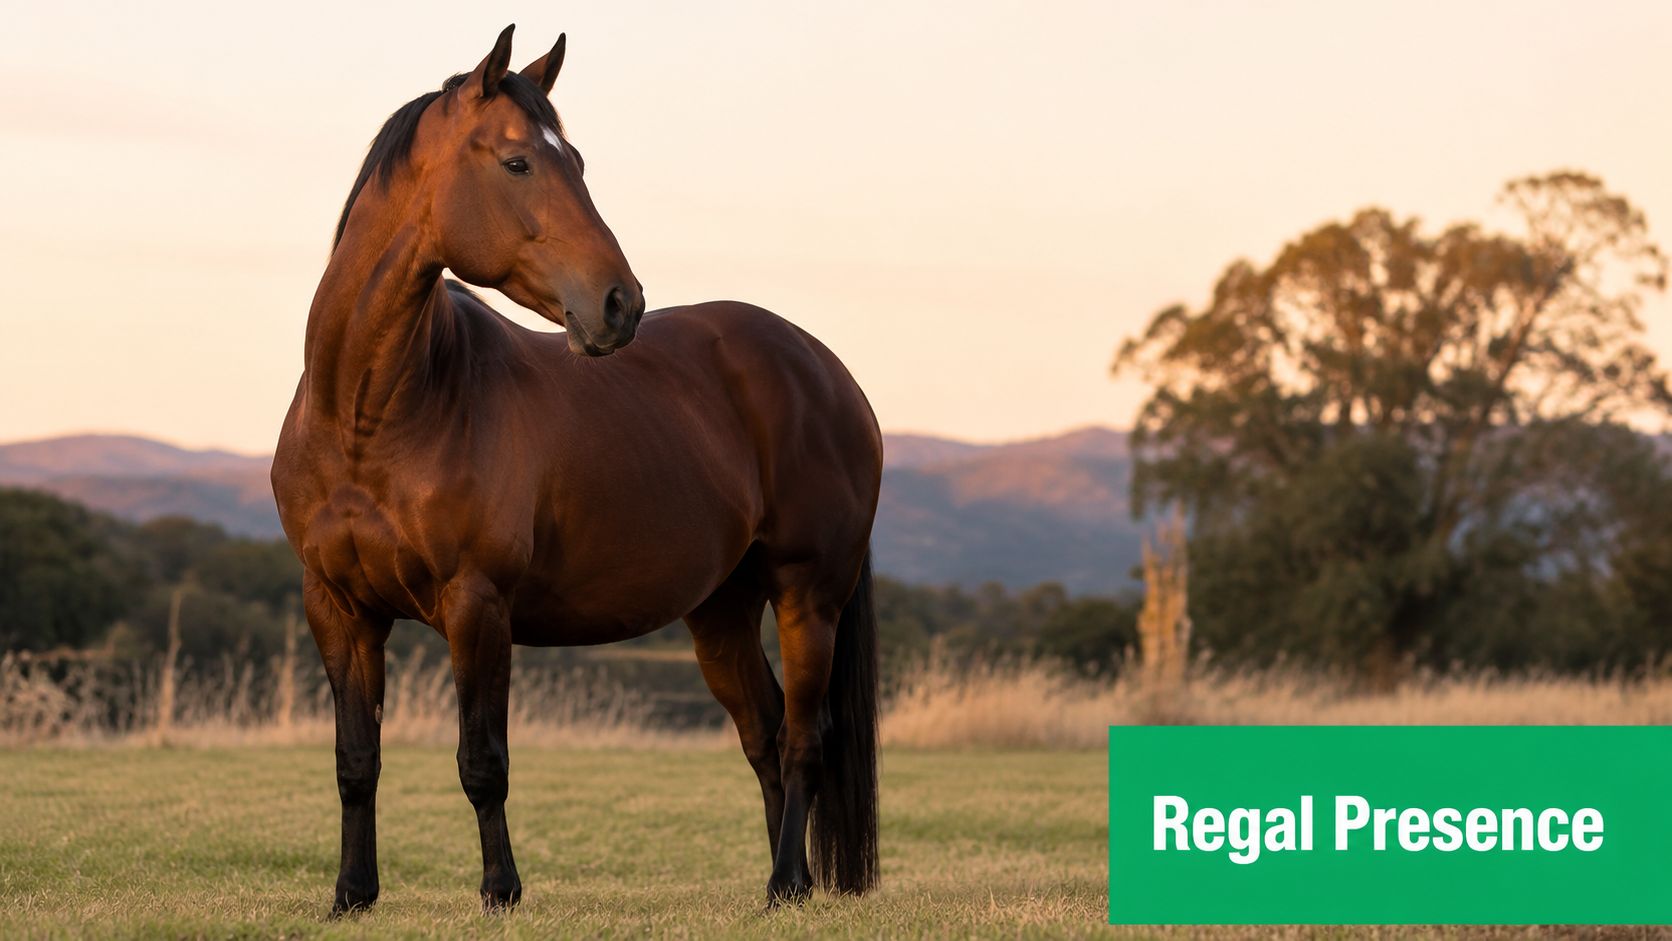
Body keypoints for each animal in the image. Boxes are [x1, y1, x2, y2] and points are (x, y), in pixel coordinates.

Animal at [270, 25, 882, 914]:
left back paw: (787, 881)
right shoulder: (338, 607)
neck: (371, 415)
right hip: (721, 611)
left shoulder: (477, 604)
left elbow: (482, 762)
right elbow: (356, 761)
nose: (620, 303)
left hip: (809, 596)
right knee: (765, 734)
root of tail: (828, 372)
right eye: (519, 162)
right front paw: (352, 894)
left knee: (804, 737)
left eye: (579, 161)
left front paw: (500, 891)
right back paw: (784, 883)